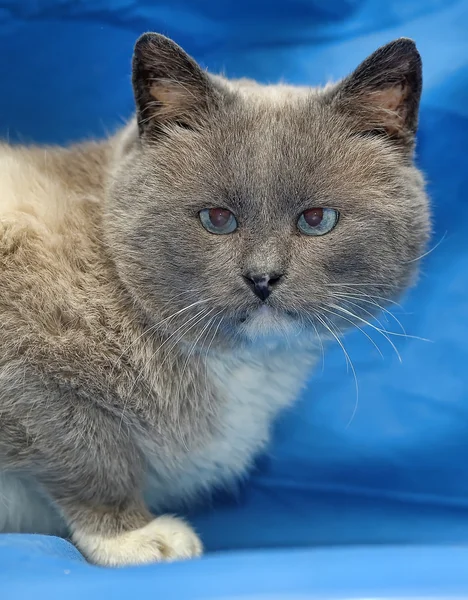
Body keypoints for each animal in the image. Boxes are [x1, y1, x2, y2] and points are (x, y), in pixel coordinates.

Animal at [0, 34, 432, 568]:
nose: (263, 278)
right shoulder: (30, 379)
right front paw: (134, 538)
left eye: (316, 219)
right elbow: (91, 454)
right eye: (217, 219)